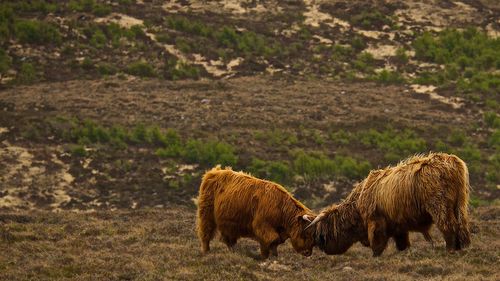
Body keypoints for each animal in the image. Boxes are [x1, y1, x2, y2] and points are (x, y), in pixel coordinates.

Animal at [306, 152, 470, 255]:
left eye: (324, 233)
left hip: (438, 204)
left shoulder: (376, 220)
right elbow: (402, 243)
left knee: (448, 224)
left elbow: (377, 243)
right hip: (460, 203)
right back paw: (463, 246)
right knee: (461, 224)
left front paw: (376, 255)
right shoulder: (399, 225)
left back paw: (450, 249)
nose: (322, 247)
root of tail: (451, 161)